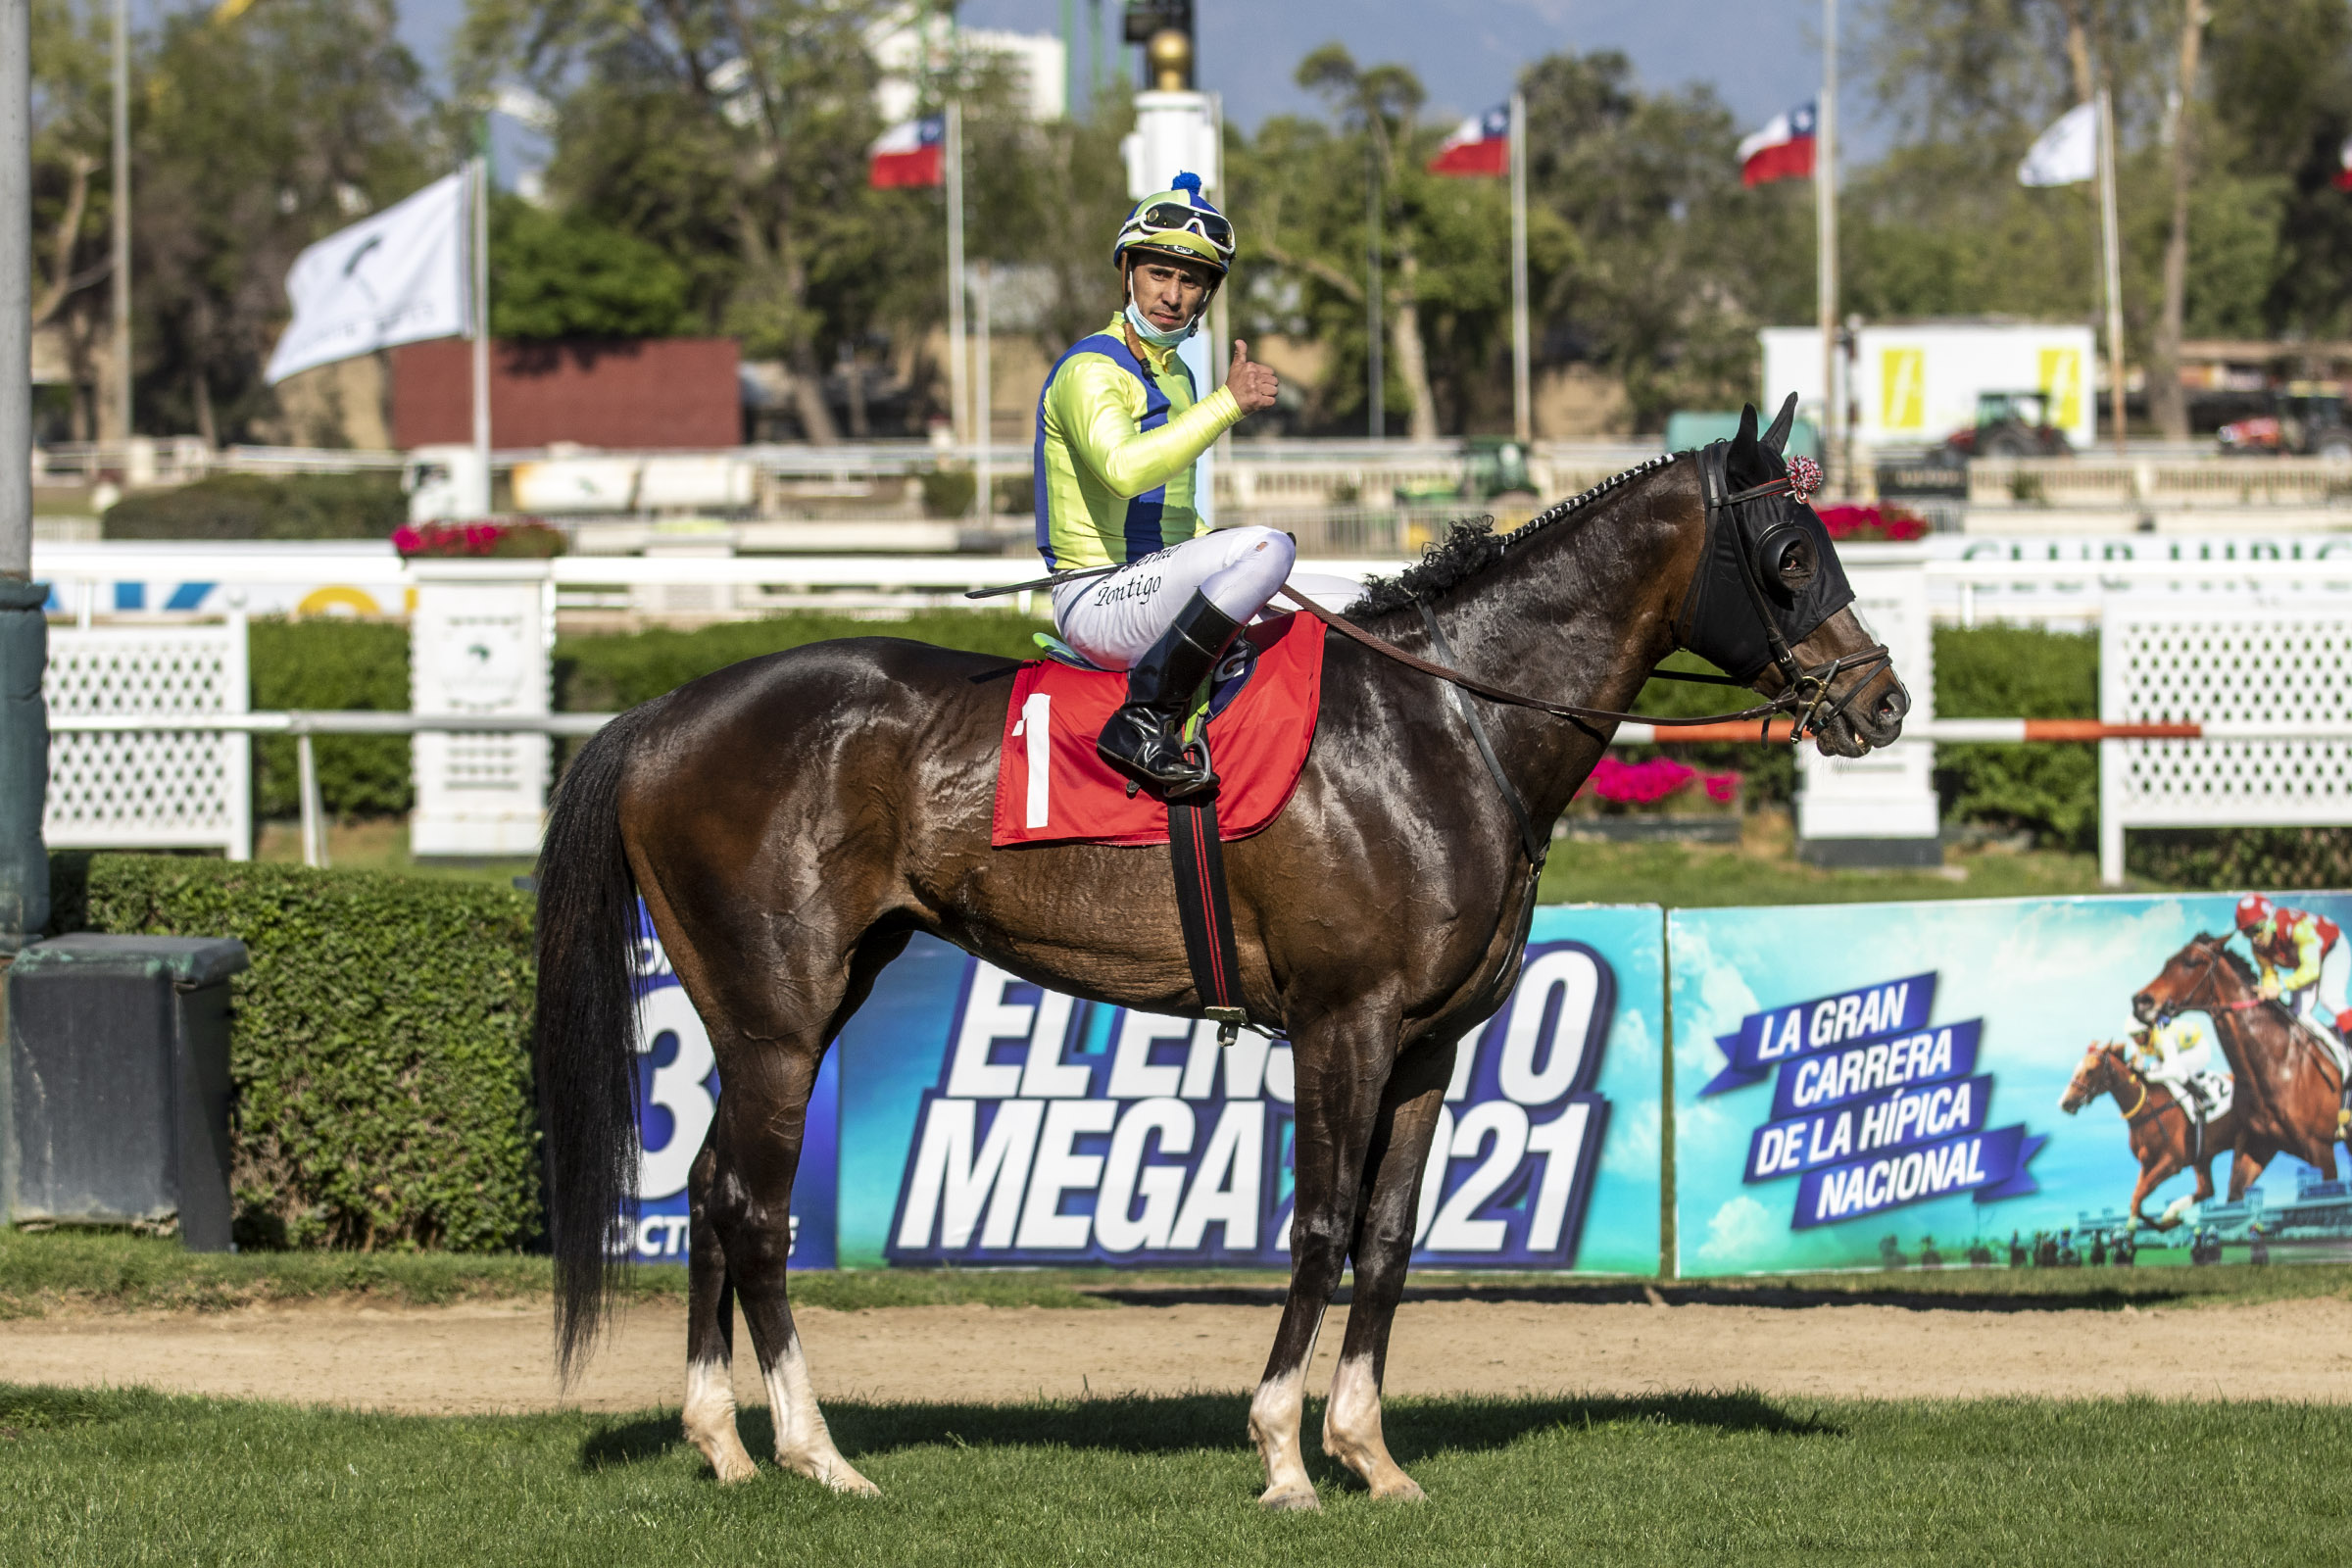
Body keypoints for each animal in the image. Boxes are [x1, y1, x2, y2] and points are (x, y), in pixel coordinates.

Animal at [530, 401, 1910, 1508]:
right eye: (1792, 556)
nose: (1882, 700)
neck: (1444, 721)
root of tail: (661, 714)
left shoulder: (1429, 1042)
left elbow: (1391, 1236)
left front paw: (1370, 1453)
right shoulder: (1344, 1020)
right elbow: (1321, 1225)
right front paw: (1287, 1456)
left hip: (787, 1008)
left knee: (710, 1188)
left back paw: (723, 1443)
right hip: (777, 1014)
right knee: (756, 1210)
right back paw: (818, 1451)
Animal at [2057, 1041, 2246, 1230]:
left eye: (2090, 1071)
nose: (2065, 1103)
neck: (2147, 1109)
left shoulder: (2172, 1162)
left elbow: (2139, 1194)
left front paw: (2131, 1233)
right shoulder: (2147, 1162)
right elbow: (2137, 1197)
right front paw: (2161, 1222)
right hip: (2202, 1157)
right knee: (2206, 1190)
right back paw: (2172, 1213)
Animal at [2133, 934, 2344, 1198]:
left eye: (2192, 961)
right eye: (2167, 962)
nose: (2140, 1002)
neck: (2278, 1064)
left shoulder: (2322, 1149)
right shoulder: (2255, 1145)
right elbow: (2235, 1194)